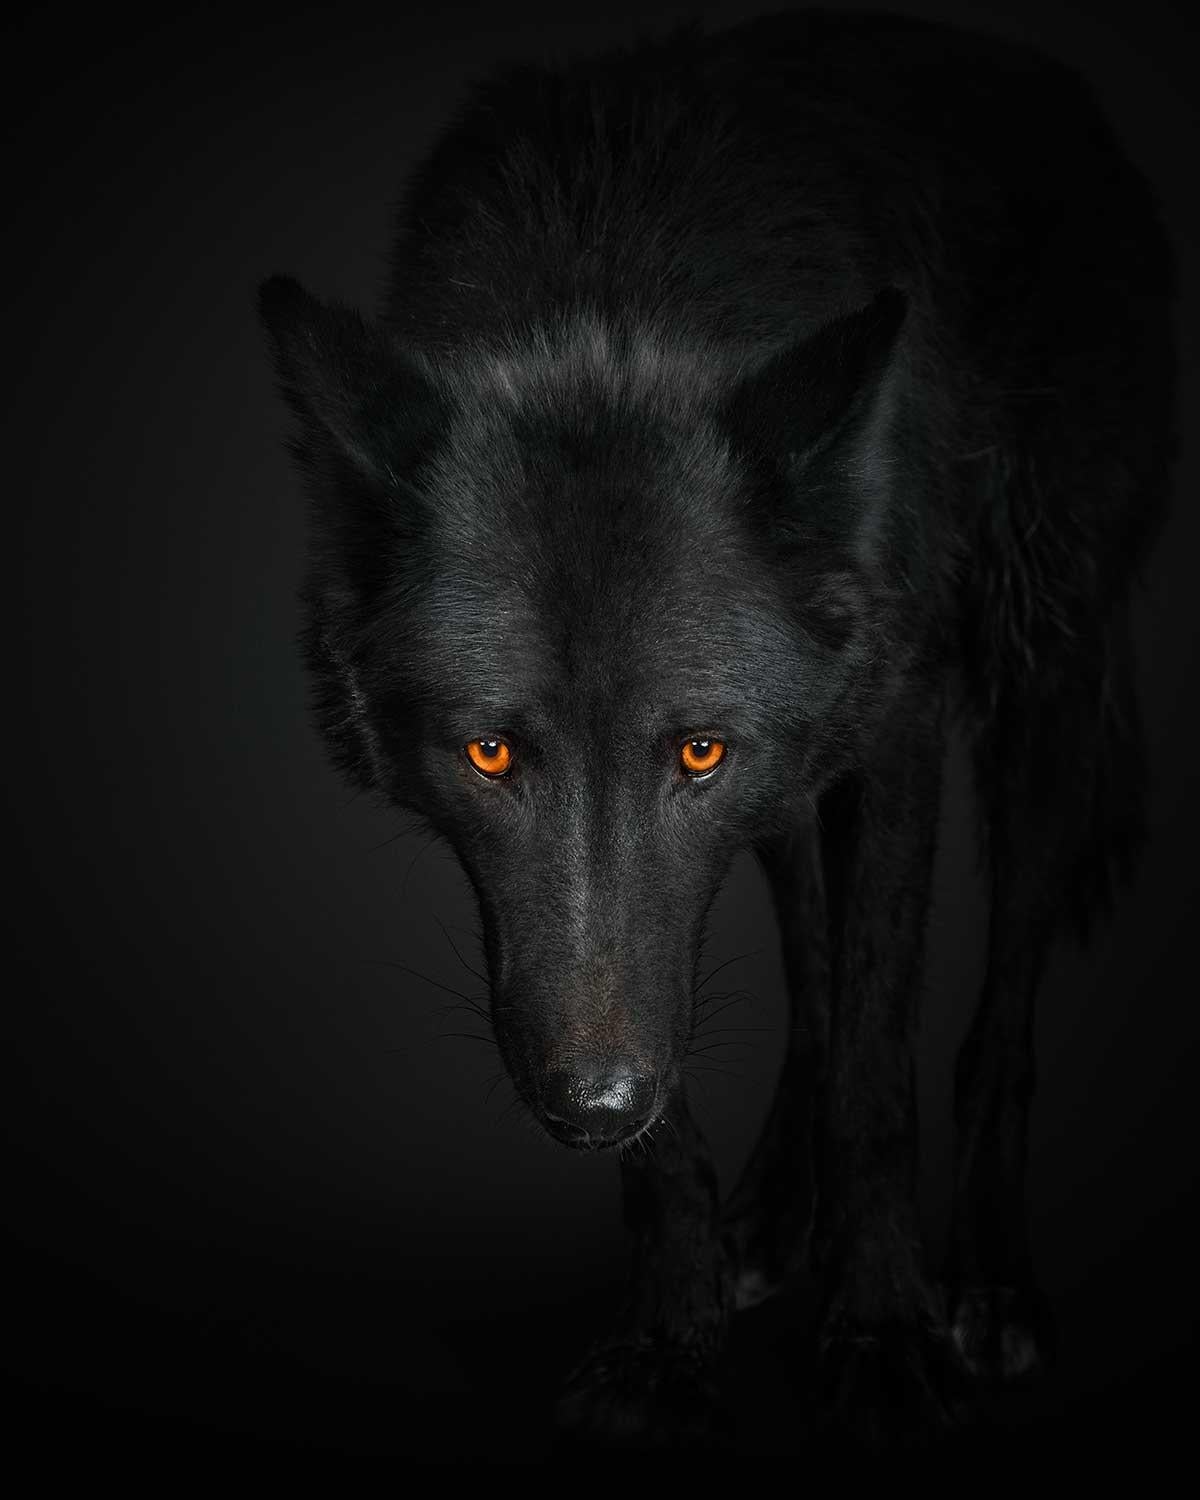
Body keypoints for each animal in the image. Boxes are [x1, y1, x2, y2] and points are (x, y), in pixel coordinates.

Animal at [259, 9, 1176, 1447]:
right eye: (490, 753)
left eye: (695, 750)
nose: (590, 1104)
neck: (612, 271)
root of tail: (1056, 88)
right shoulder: (624, 938)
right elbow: (702, 1067)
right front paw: (670, 1337)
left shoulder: (897, 730)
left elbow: (878, 1060)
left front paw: (882, 1331)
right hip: (805, 781)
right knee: (810, 969)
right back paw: (777, 1218)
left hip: (1044, 684)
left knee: (996, 1008)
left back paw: (986, 1280)